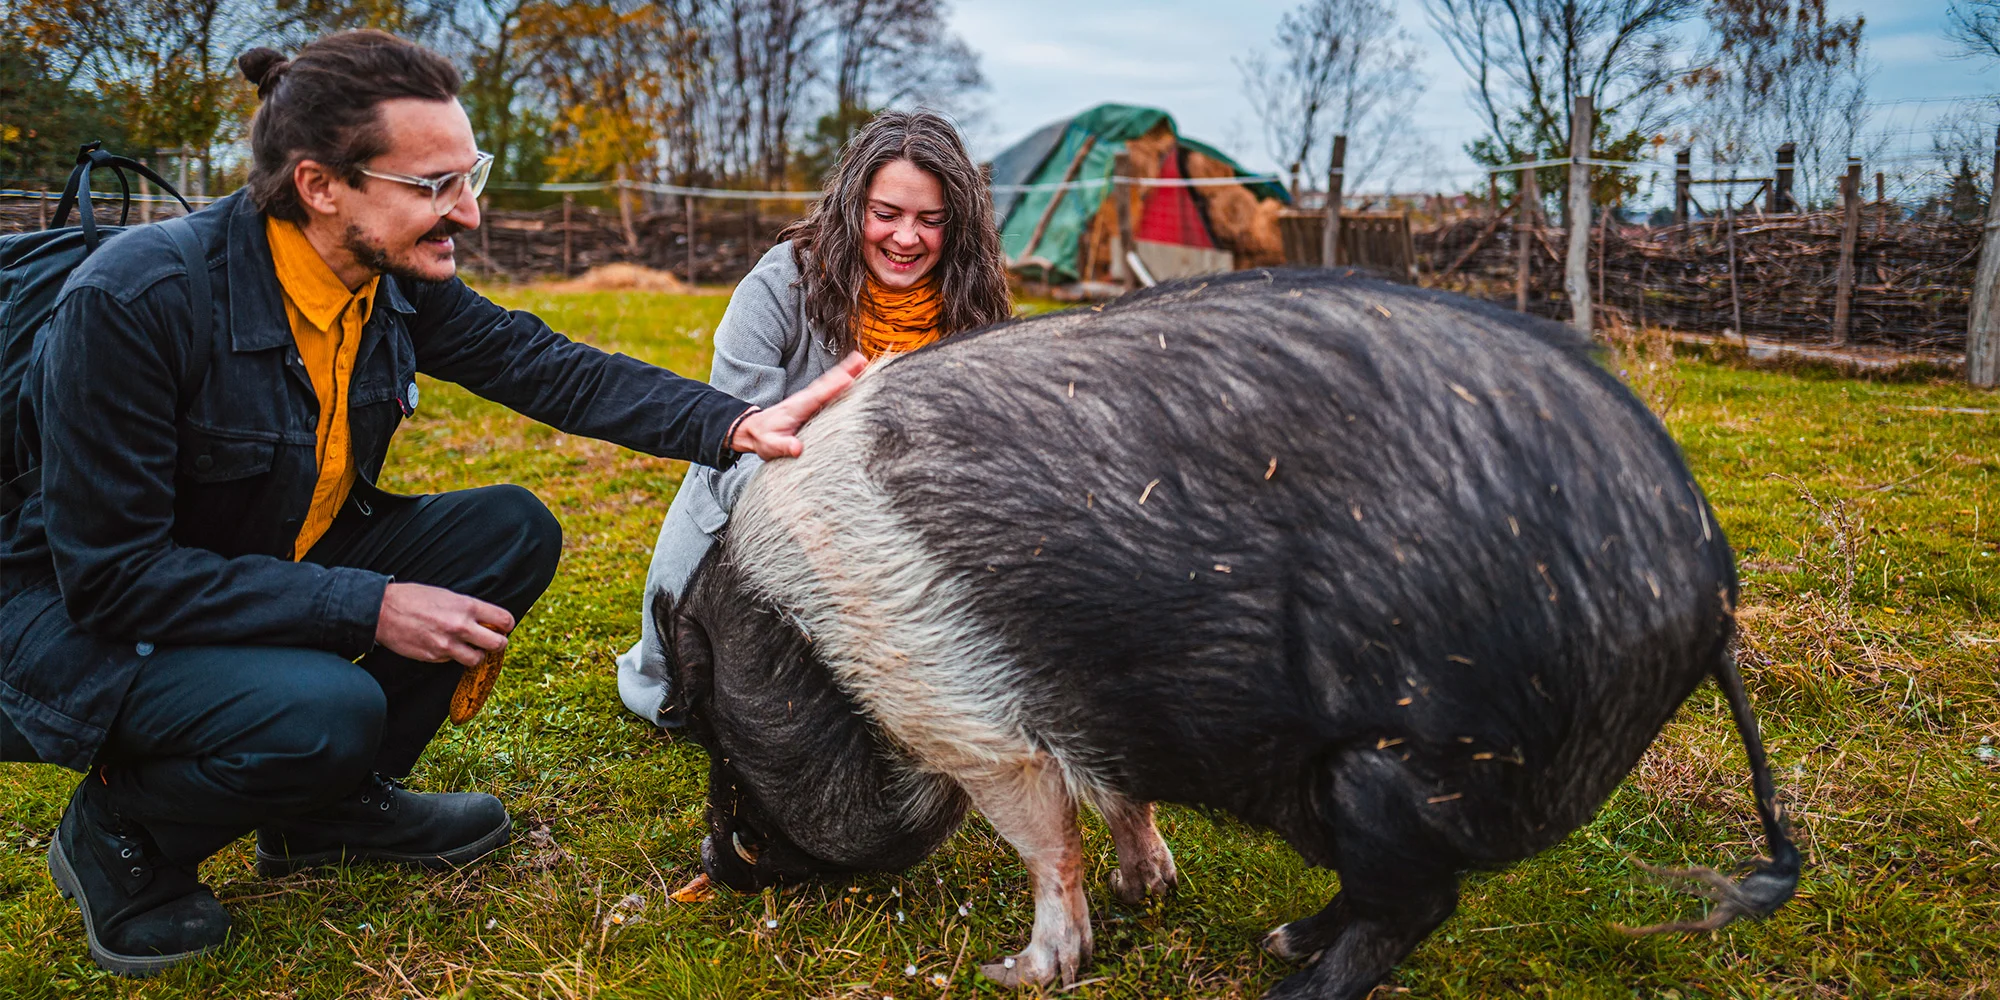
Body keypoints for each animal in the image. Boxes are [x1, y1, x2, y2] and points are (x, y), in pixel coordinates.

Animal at [652, 268, 1800, 1000]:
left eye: (711, 724)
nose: (710, 857)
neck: (803, 634)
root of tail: (1709, 588)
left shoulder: (962, 709)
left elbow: (1044, 840)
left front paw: (1016, 974)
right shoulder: (1091, 713)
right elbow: (1116, 798)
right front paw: (1149, 889)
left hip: (1403, 766)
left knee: (1413, 905)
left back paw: (1284, 984)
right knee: (1380, 897)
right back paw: (1278, 937)